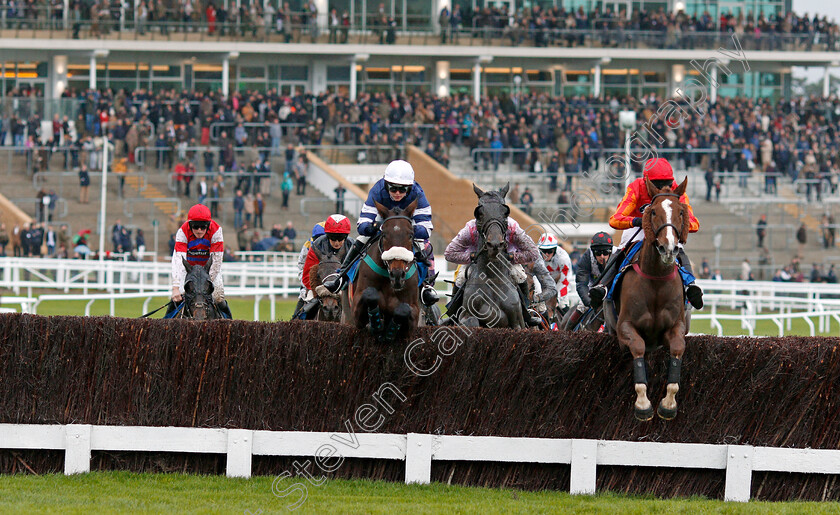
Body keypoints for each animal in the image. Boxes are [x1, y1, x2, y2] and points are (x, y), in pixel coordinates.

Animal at [350, 200, 420, 344]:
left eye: (410, 235)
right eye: (384, 234)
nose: (397, 275)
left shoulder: (413, 316)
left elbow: (404, 309)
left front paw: (390, 330)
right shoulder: (356, 313)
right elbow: (370, 294)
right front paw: (376, 323)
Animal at [608, 179, 692, 422]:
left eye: (681, 212)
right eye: (653, 211)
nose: (669, 247)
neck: (656, 279)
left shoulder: (676, 326)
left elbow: (678, 348)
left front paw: (668, 404)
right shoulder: (624, 327)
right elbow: (638, 346)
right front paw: (643, 404)